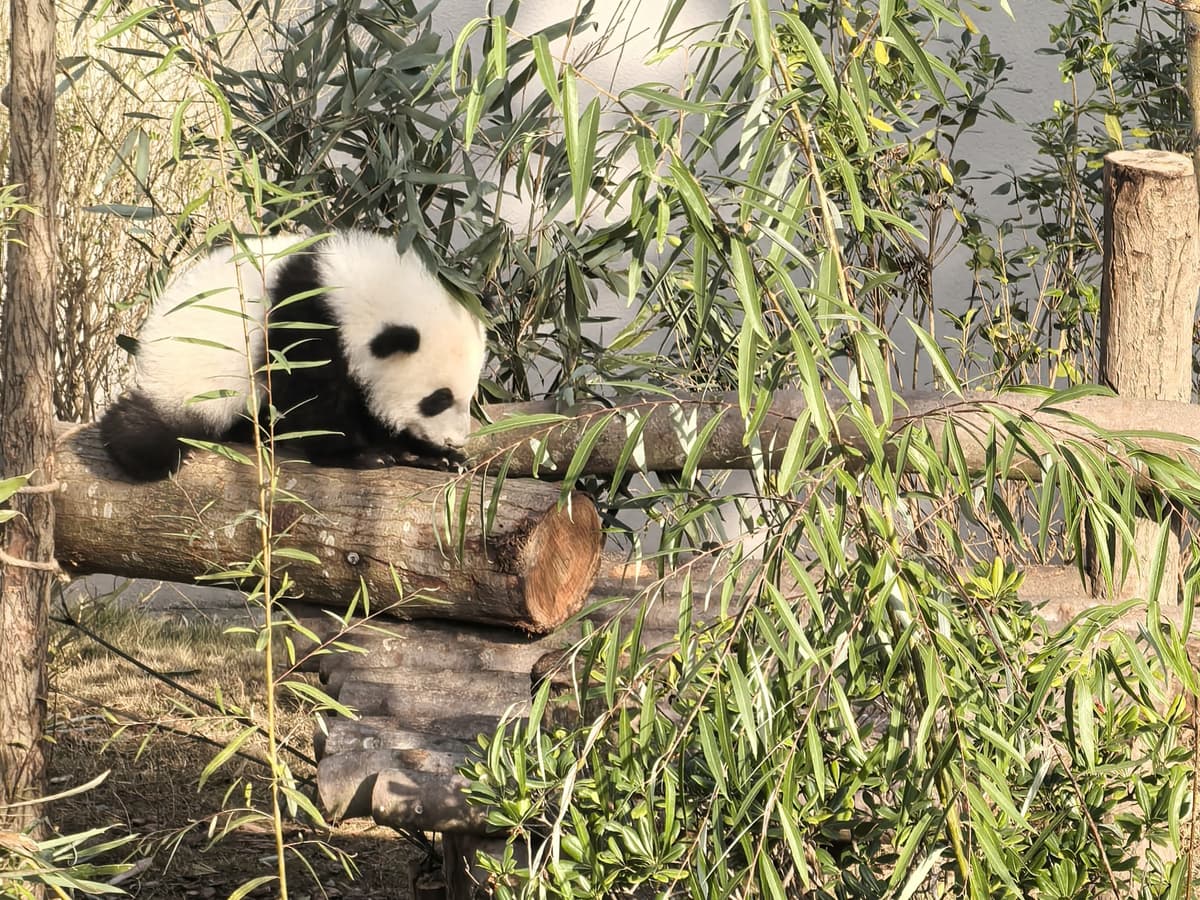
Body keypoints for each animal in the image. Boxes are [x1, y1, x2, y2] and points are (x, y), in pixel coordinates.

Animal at [99, 230, 488, 482]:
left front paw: (432, 455)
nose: (455, 439)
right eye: (437, 399)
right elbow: (313, 400)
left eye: (468, 397)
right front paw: (362, 454)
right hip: (190, 377)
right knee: (149, 427)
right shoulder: (304, 322)